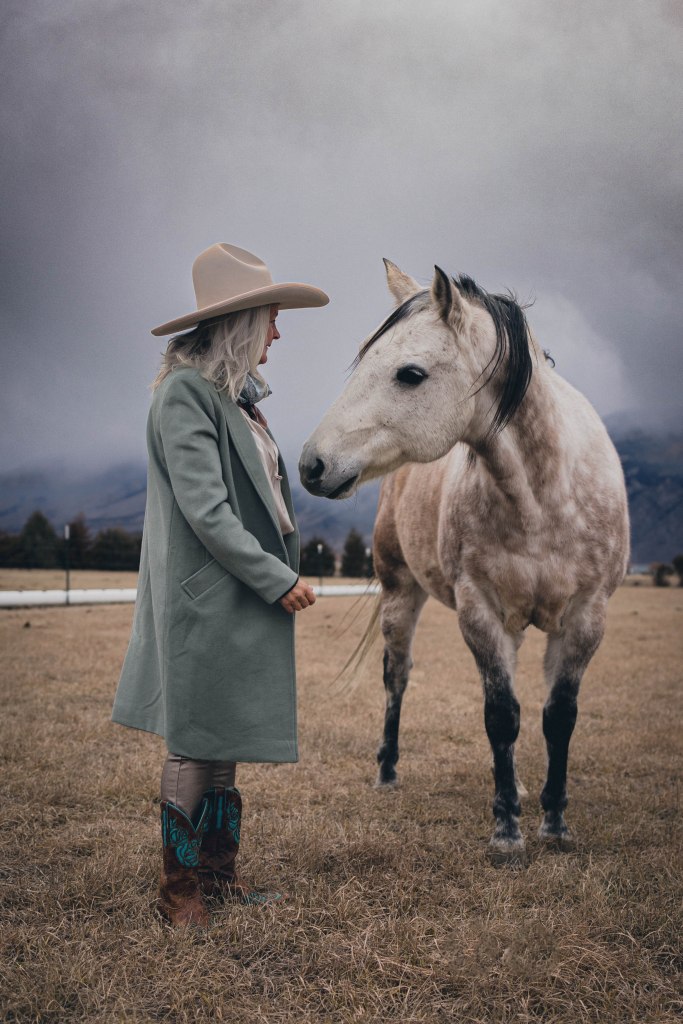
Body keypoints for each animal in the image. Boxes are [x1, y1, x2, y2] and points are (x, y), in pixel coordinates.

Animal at [299, 259, 629, 865]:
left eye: (410, 374)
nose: (312, 465)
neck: (542, 497)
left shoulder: (585, 618)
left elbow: (557, 717)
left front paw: (554, 822)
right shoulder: (479, 611)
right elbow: (501, 716)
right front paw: (507, 830)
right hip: (400, 592)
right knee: (396, 677)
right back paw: (388, 772)